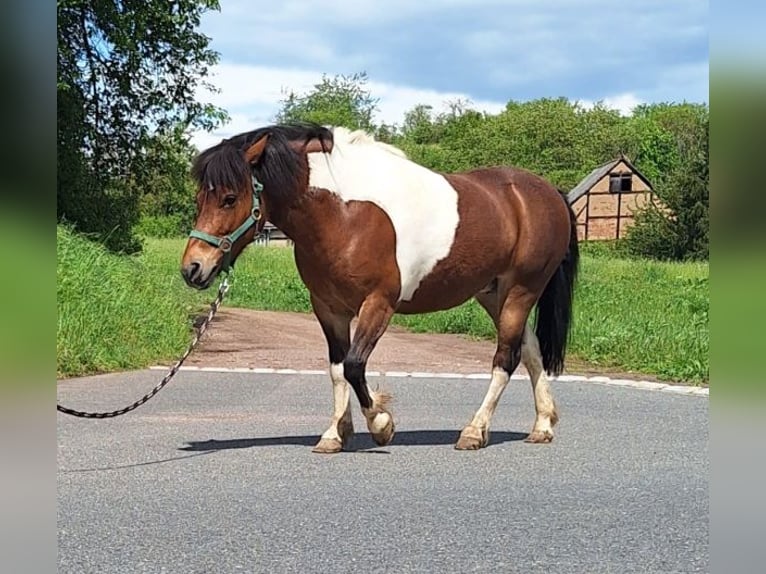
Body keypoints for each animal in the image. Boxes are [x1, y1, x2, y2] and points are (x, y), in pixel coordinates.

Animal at [181, 122, 579, 453]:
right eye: (200, 199)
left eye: (230, 198)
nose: (192, 268)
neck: (343, 214)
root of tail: (548, 193)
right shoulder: (328, 308)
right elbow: (337, 368)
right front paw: (335, 434)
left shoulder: (378, 303)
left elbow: (355, 365)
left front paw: (381, 423)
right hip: (493, 294)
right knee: (530, 351)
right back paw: (542, 425)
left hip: (521, 290)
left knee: (505, 359)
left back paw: (474, 431)